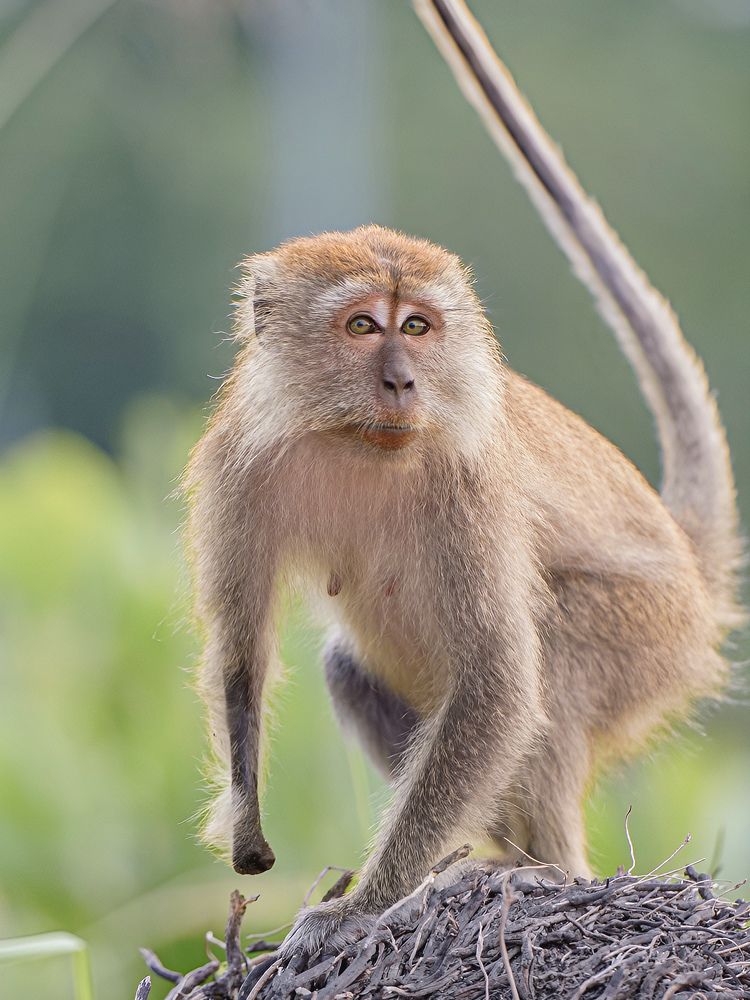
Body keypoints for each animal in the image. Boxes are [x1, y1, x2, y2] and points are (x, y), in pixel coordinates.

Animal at [184, 0, 743, 959]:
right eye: (363, 326)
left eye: (417, 325)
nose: (403, 380)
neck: (354, 440)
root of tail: (689, 567)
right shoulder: (238, 468)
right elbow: (241, 652)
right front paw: (250, 832)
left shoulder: (464, 483)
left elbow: (500, 681)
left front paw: (365, 907)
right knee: (352, 668)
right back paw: (496, 859)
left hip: (651, 636)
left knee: (552, 651)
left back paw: (547, 873)